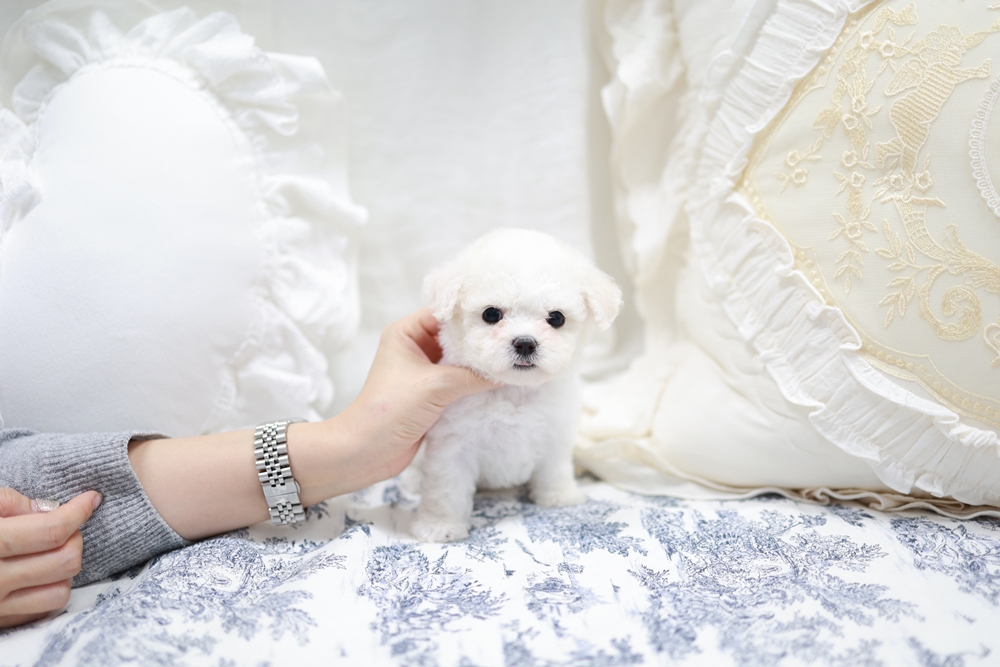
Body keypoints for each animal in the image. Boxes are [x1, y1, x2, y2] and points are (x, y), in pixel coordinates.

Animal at [410, 228, 622, 542]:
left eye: (556, 318)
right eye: (491, 314)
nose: (525, 343)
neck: (515, 391)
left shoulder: (556, 433)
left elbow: (555, 469)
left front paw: (559, 496)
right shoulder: (451, 444)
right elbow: (445, 490)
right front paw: (440, 525)